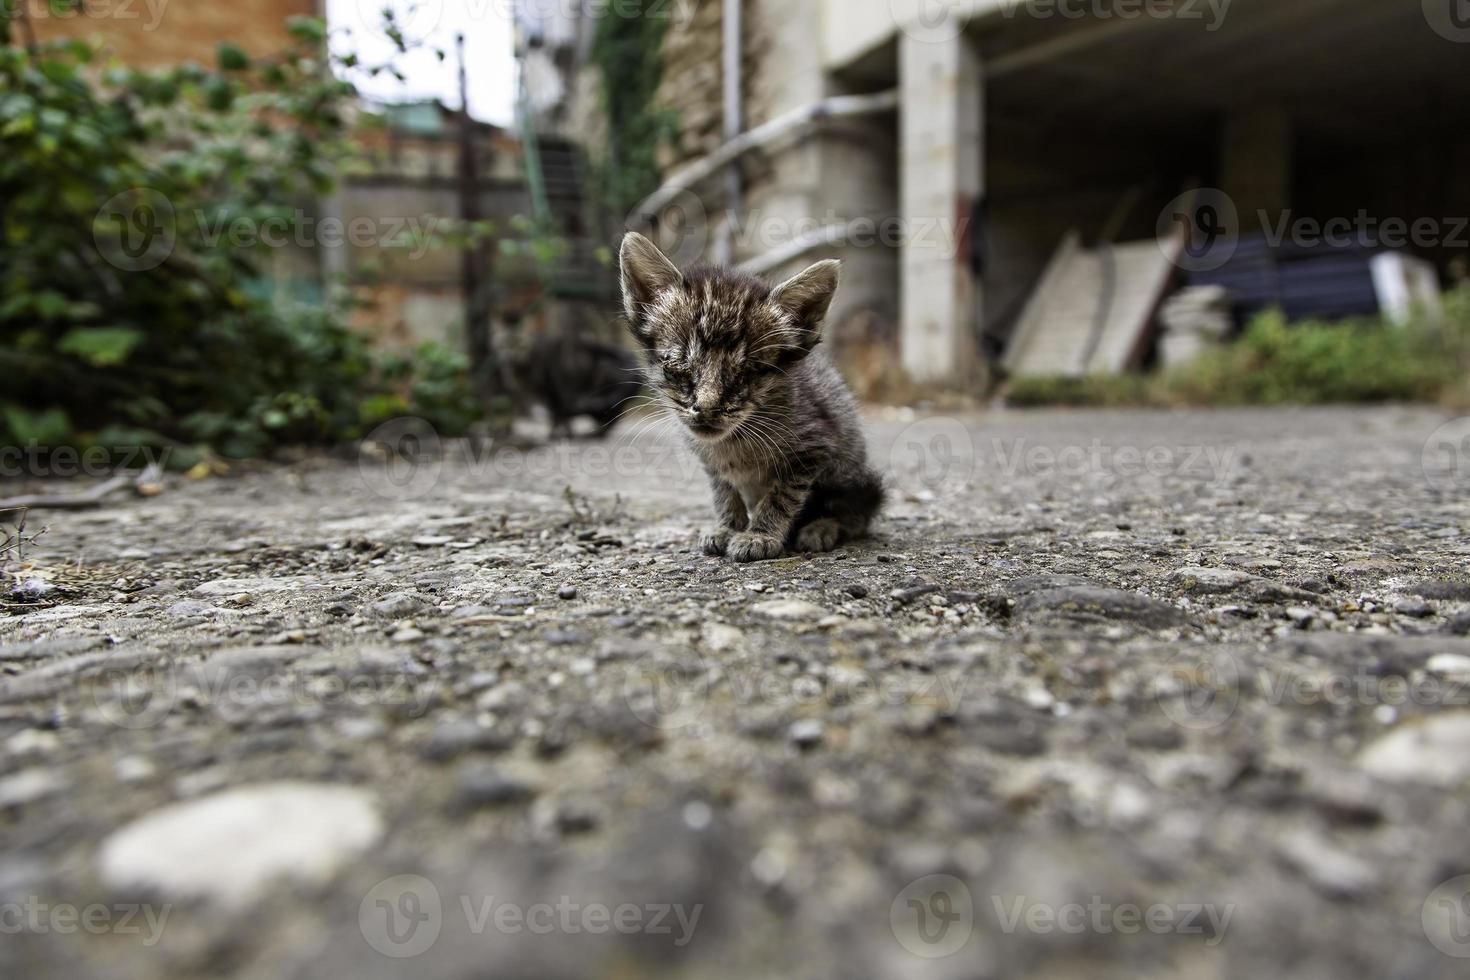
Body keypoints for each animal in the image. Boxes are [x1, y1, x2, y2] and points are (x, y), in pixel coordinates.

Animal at [617, 233, 882, 564]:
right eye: (678, 366)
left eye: (747, 374)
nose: (706, 408)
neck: (735, 439)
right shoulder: (709, 459)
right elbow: (724, 489)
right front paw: (729, 526)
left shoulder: (815, 445)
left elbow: (782, 495)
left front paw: (760, 535)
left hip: (855, 475)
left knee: (858, 512)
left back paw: (821, 527)